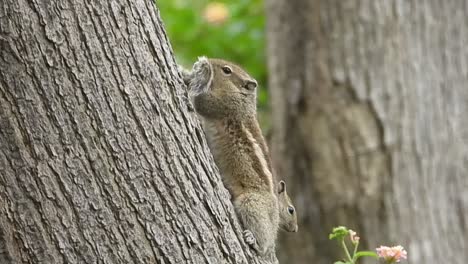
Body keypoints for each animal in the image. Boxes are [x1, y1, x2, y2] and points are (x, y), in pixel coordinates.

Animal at [181, 56, 288, 256]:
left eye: (226, 70)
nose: (209, 60)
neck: (244, 99)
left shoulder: (224, 104)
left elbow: (201, 101)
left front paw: (198, 73)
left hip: (251, 202)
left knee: (264, 241)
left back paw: (255, 241)